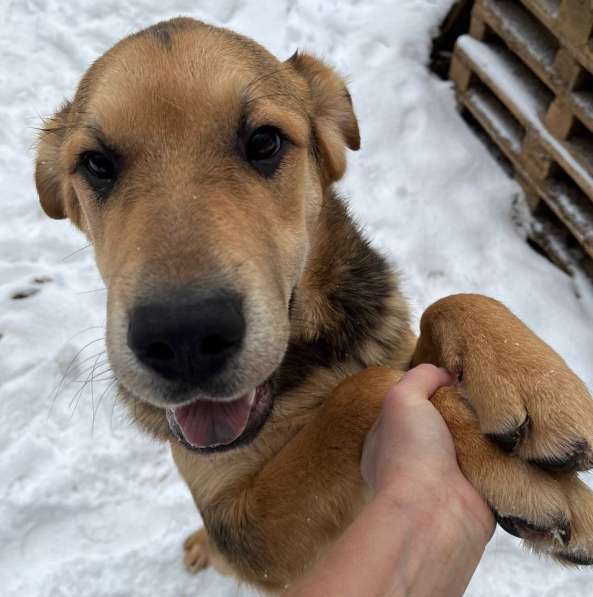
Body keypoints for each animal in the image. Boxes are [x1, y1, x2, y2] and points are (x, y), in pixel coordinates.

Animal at [34, 17, 592, 592]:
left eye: (264, 141)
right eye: (96, 164)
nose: (184, 337)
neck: (304, 371)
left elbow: (449, 303)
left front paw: (536, 384)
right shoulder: (243, 523)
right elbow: (365, 391)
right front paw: (514, 467)